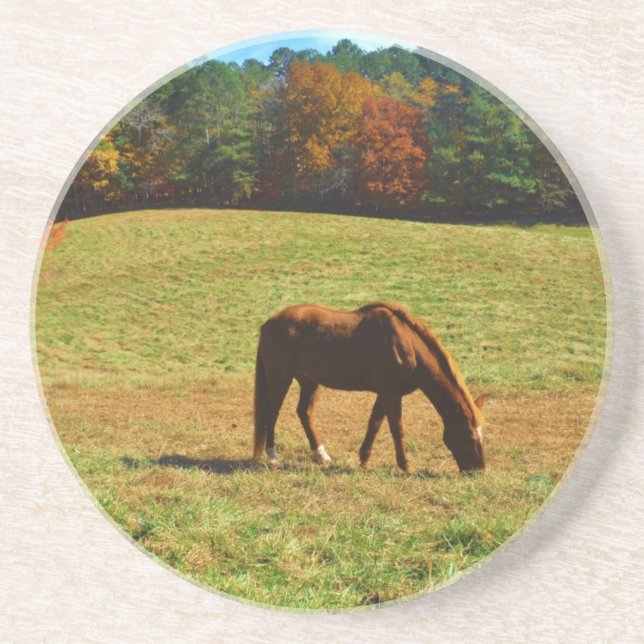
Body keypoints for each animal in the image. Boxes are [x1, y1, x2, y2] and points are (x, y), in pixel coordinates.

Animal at [252, 302, 485, 474]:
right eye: (470, 436)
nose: (479, 470)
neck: (406, 345)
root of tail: (268, 324)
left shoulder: (384, 394)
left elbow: (374, 424)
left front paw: (364, 460)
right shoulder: (391, 395)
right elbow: (397, 429)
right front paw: (406, 466)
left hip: (309, 381)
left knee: (304, 412)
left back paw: (321, 455)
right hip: (280, 379)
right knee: (272, 413)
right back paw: (272, 456)